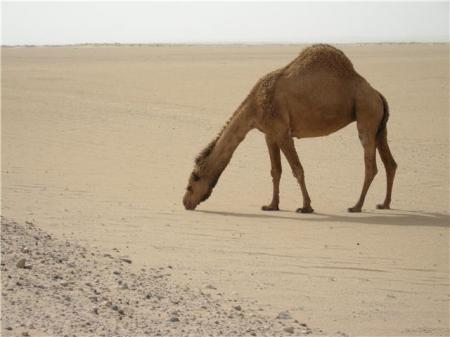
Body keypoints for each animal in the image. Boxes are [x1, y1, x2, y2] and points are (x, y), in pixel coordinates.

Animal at [183, 44, 398, 213]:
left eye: (193, 180)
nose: (185, 202)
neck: (255, 106)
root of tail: (377, 94)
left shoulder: (282, 132)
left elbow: (297, 169)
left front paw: (306, 206)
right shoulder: (269, 134)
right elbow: (275, 171)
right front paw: (272, 205)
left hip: (366, 113)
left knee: (370, 165)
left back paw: (356, 206)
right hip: (380, 124)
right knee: (390, 163)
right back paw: (384, 204)